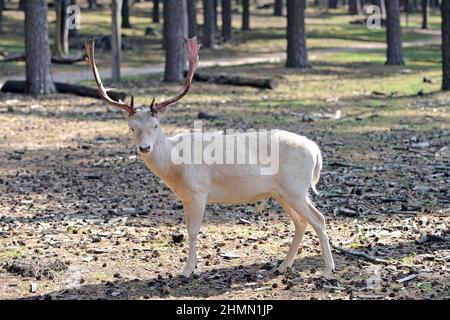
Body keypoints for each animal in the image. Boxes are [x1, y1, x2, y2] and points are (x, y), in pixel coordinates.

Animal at [86, 37, 336, 278]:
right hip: (281, 192)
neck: (175, 168)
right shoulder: (185, 197)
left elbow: (193, 230)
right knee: (301, 222)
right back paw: (283, 266)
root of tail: (315, 150)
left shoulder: (199, 191)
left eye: (156, 125)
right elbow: (187, 227)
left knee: (318, 219)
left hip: (295, 188)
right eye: (132, 128)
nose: (145, 147)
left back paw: (327, 270)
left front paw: (187, 270)